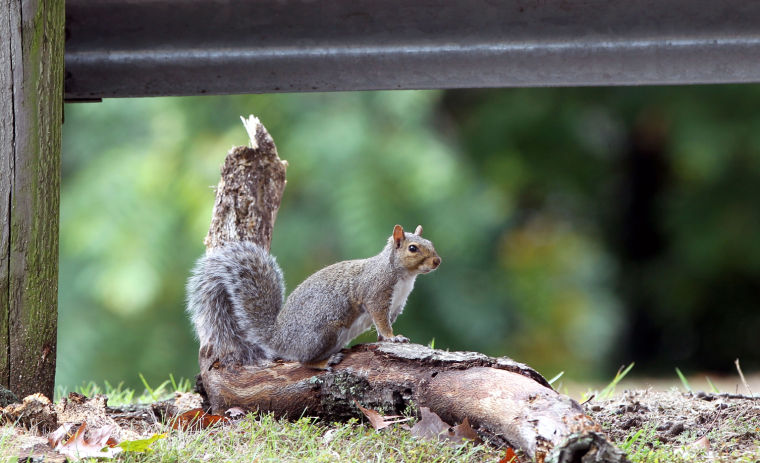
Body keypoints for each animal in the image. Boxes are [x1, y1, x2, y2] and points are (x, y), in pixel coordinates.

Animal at [186, 225, 442, 370]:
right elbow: (381, 320)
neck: (404, 277)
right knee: (304, 362)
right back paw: (324, 362)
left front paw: (385, 338)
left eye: (431, 243)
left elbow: (382, 324)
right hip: (325, 332)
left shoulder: (396, 305)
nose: (437, 261)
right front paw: (392, 338)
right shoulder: (376, 294)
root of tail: (278, 338)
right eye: (412, 248)